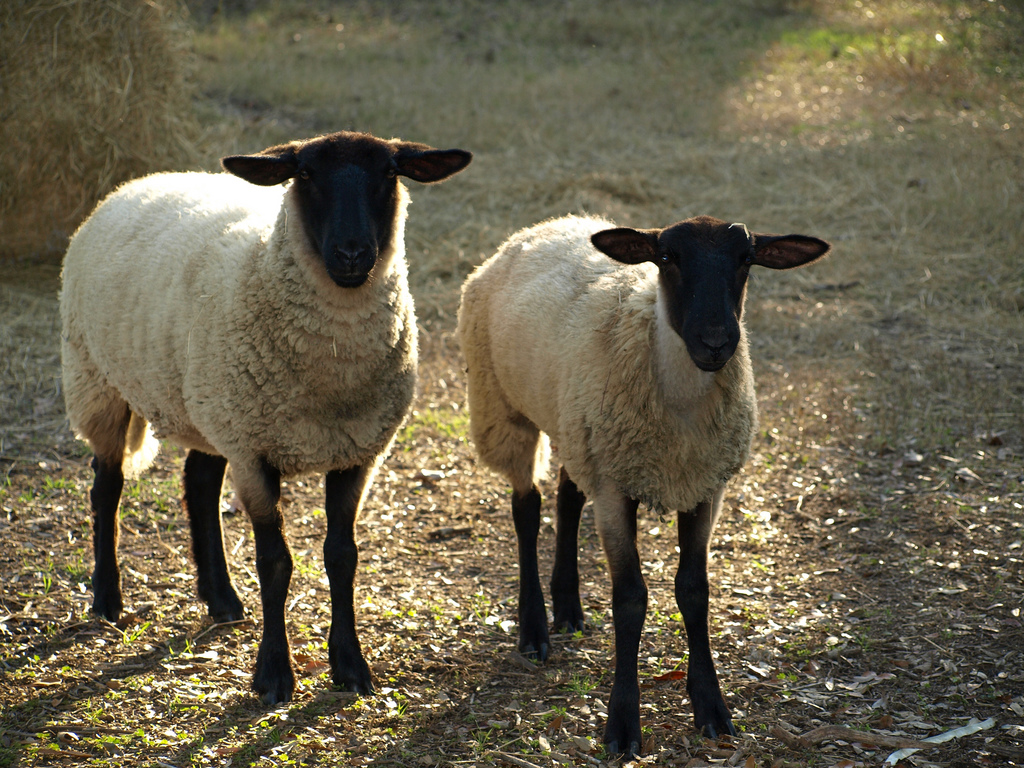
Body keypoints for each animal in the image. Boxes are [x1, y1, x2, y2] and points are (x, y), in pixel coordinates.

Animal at [60, 130, 472, 705]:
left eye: (390, 173)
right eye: (306, 175)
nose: (351, 253)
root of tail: (136, 182)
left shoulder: (357, 451)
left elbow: (342, 556)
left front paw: (350, 665)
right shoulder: (255, 453)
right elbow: (276, 563)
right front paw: (274, 673)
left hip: (209, 405)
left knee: (198, 481)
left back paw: (222, 599)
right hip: (97, 380)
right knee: (107, 488)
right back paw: (107, 598)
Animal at [457, 214, 830, 755]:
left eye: (746, 259)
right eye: (667, 257)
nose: (716, 341)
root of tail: (546, 224)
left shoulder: (704, 486)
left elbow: (694, 590)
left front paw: (711, 708)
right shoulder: (615, 489)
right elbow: (630, 599)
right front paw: (623, 724)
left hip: (577, 425)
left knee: (568, 496)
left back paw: (567, 607)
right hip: (502, 408)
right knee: (526, 508)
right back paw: (534, 629)